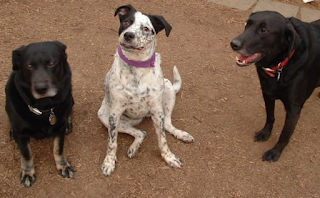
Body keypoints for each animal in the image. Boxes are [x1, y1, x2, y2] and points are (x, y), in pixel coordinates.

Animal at [5, 41, 75, 186]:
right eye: (29, 65)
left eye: (52, 63)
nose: (41, 88)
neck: (44, 107)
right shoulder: (21, 134)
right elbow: (26, 154)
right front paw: (27, 172)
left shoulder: (59, 128)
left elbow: (58, 148)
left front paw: (63, 165)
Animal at [97, 3, 194, 176]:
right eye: (126, 22)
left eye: (146, 28)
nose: (128, 35)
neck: (136, 66)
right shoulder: (115, 113)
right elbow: (112, 142)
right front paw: (109, 162)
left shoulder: (157, 110)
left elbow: (162, 139)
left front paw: (169, 157)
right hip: (105, 116)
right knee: (141, 132)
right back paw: (134, 147)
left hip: (167, 90)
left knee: (166, 125)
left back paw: (181, 134)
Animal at [231, 10, 320, 162]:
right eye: (247, 24)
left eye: (264, 30)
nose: (233, 44)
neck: (281, 66)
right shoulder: (267, 93)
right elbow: (270, 116)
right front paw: (265, 133)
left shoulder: (294, 109)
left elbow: (285, 134)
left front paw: (275, 152)